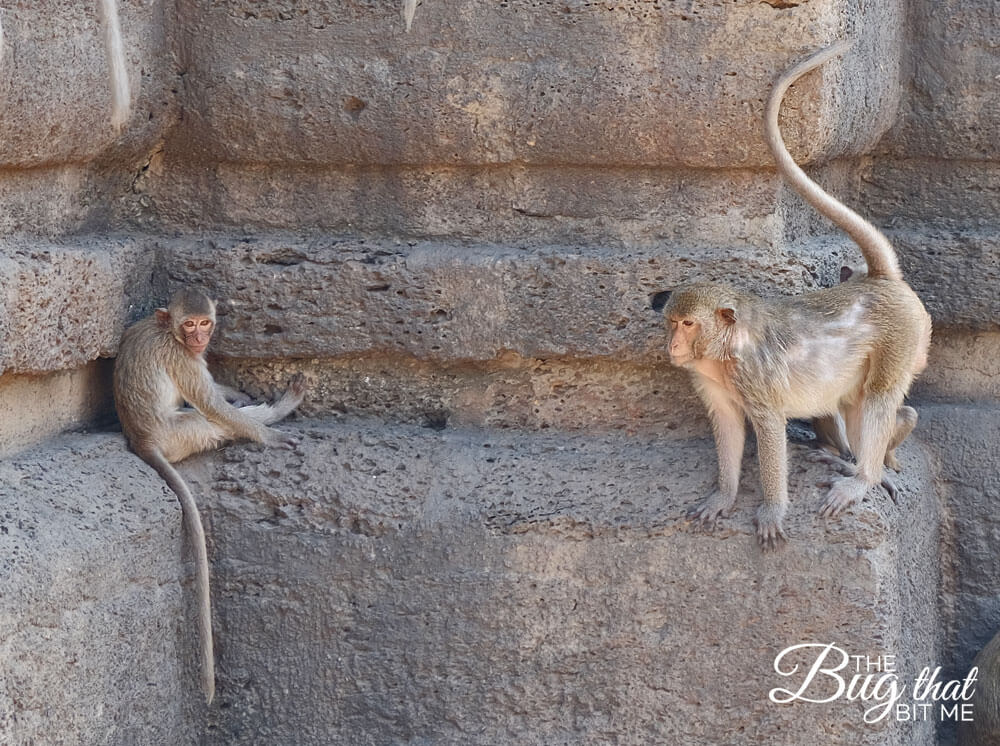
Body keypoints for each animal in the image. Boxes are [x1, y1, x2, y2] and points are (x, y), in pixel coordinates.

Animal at [114, 288, 306, 700]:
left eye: (205, 322)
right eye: (189, 325)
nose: (200, 338)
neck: (167, 330)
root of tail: (142, 441)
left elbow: (219, 395)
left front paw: (236, 391)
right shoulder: (181, 357)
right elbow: (212, 404)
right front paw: (267, 433)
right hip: (182, 434)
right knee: (209, 419)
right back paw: (276, 413)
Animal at [664, 43, 928, 548]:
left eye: (688, 323)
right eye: (671, 322)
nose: (672, 345)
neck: (725, 350)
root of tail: (878, 280)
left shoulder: (755, 377)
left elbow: (768, 429)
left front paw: (771, 509)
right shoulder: (709, 379)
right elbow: (728, 425)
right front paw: (724, 495)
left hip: (905, 336)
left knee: (879, 395)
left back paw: (862, 477)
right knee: (857, 399)